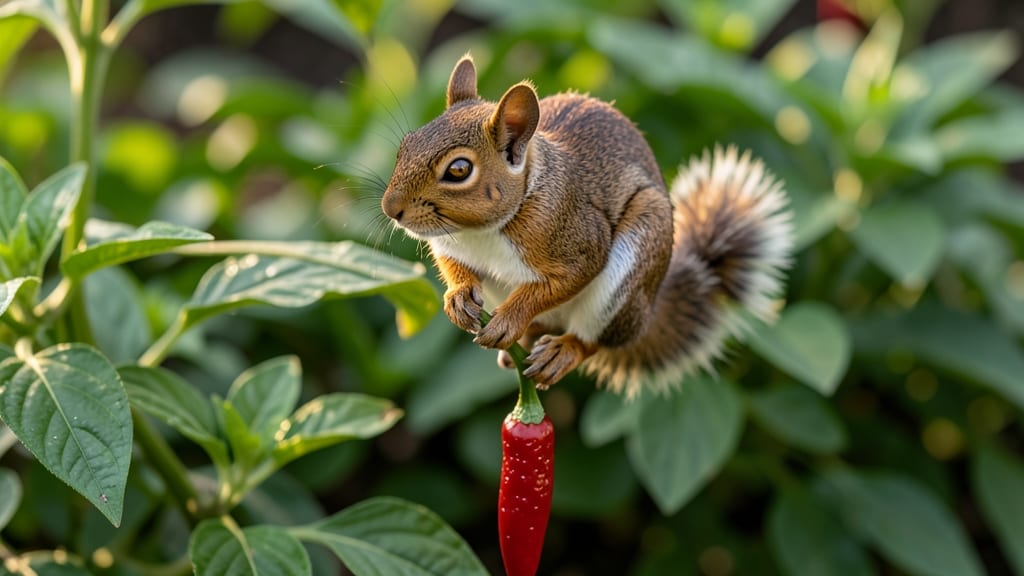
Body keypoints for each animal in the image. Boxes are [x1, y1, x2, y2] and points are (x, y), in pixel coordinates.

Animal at [382, 54, 793, 398]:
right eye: (405, 145)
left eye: (459, 170)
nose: (391, 208)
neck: (483, 232)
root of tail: (646, 316)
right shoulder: (450, 244)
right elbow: (454, 266)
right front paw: (458, 296)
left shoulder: (579, 240)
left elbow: (560, 282)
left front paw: (510, 318)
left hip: (626, 277)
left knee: (593, 341)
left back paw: (561, 350)